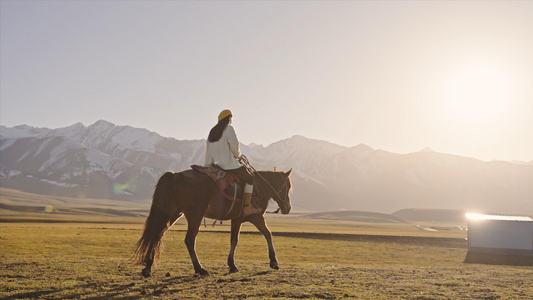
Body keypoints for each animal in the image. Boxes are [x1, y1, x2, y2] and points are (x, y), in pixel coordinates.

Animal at [132, 168, 290, 278]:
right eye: (288, 187)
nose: (287, 208)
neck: (261, 188)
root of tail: (175, 175)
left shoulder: (236, 220)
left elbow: (234, 240)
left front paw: (232, 265)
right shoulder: (256, 216)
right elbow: (268, 234)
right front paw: (274, 262)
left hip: (172, 213)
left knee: (157, 234)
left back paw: (147, 268)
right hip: (194, 216)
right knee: (189, 240)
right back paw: (200, 269)